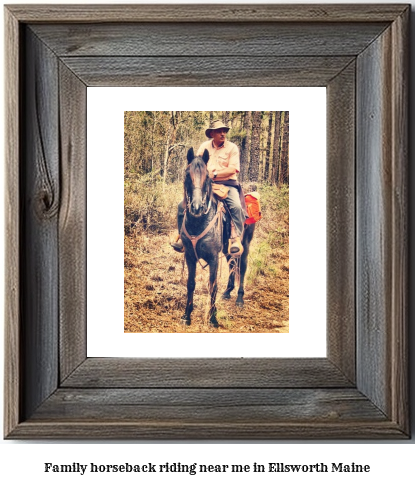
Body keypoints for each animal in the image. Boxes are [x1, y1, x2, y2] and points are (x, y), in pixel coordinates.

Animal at [180, 147, 255, 326]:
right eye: (187, 174)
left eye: (207, 176)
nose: (197, 207)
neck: (198, 222)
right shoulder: (189, 256)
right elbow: (190, 284)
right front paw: (187, 315)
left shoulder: (213, 257)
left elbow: (212, 285)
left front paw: (213, 318)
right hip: (227, 249)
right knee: (232, 264)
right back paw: (227, 292)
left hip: (245, 244)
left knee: (242, 267)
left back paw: (239, 299)